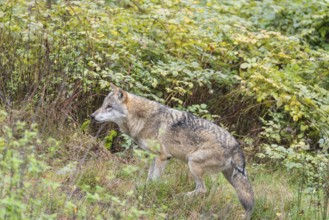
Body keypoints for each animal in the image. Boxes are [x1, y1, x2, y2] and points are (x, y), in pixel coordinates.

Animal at [89, 84, 254, 218]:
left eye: (109, 107)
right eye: (103, 105)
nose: (92, 115)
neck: (142, 118)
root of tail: (235, 144)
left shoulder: (163, 157)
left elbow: (155, 180)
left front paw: (149, 193)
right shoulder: (155, 157)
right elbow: (149, 178)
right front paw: (143, 189)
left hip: (193, 163)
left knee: (202, 190)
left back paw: (180, 197)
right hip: (231, 178)